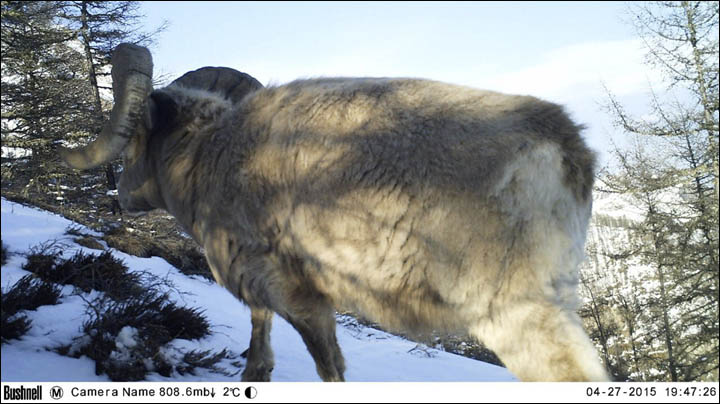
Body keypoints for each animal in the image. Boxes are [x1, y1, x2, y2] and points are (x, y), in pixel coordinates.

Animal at [60, 42, 608, 380]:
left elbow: (330, 368)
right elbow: (260, 359)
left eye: (134, 139)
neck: (209, 158)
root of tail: (567, 148)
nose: (121, 194)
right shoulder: (264, 302)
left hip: (518, 319)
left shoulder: (303, 299)